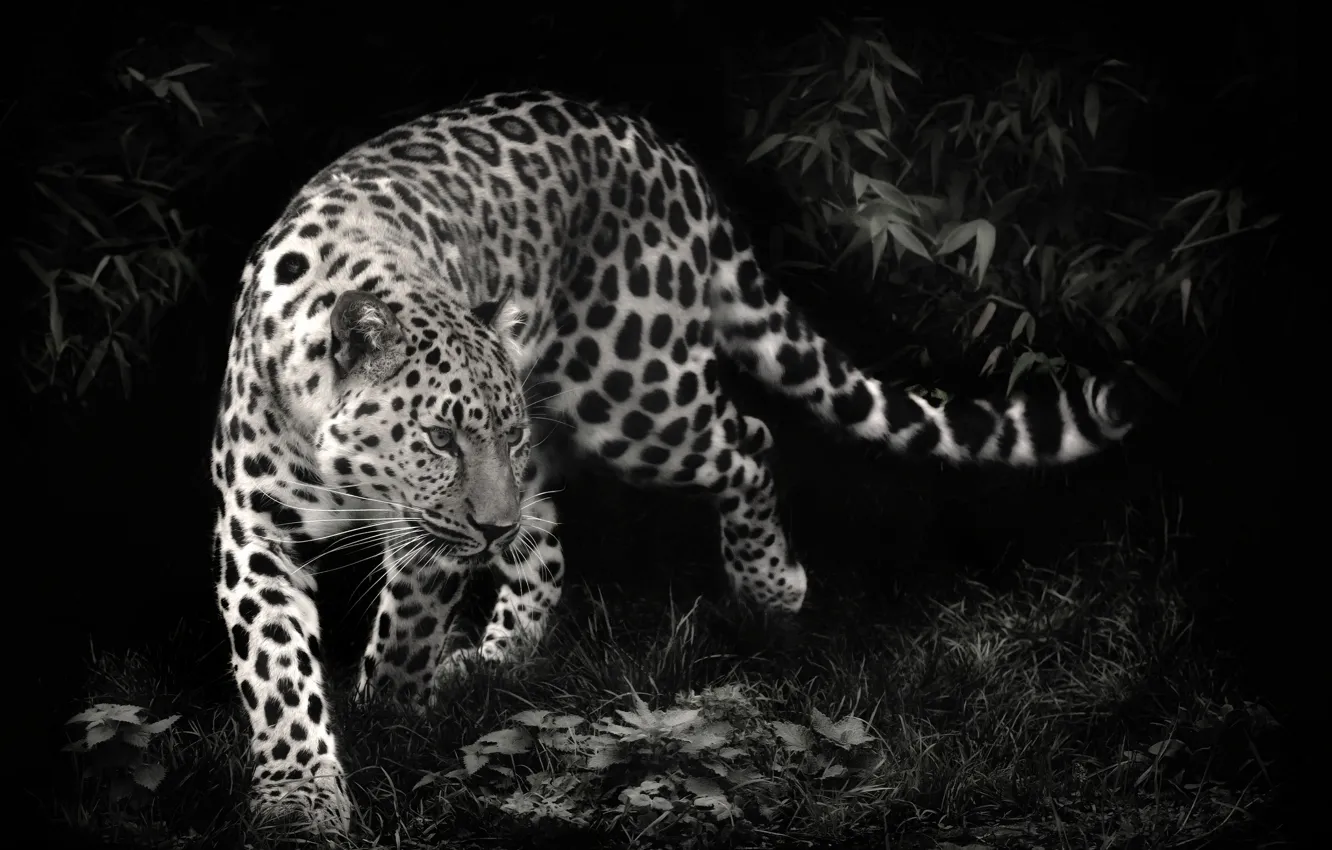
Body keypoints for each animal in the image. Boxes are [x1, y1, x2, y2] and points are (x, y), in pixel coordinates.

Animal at [209, 90, 1136, 834]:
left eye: (500, 435)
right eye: (441, 438)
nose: (490, 525)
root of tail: (666, 150)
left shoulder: (433, 534)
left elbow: (406, 625)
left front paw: (392, 712)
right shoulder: (253, 531)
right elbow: (278, 670)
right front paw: (299, 794)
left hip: (635, 395)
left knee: (746, 441)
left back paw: (769, 588)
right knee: (549, 537)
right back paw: (501, 655)